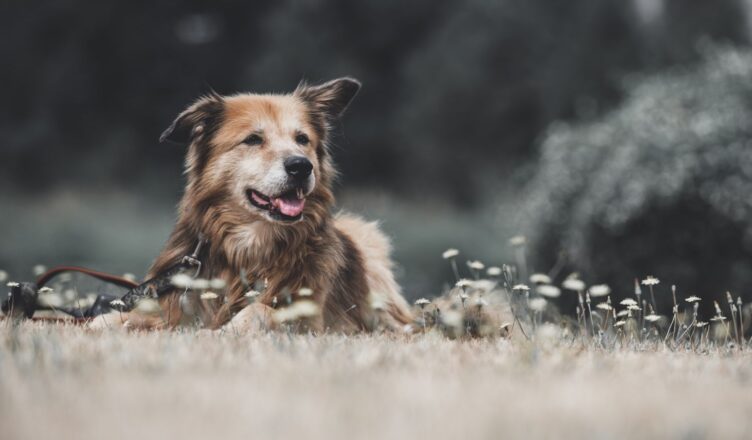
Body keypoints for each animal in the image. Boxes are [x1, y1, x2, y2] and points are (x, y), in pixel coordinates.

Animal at [96, 77, 412, 332]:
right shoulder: (173, 305)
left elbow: (261, 309)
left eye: (302, 139)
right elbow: (111, 318)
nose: (301, 166)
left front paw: (225, 331)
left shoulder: (315, 321)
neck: (250, 245)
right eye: (253, 139)